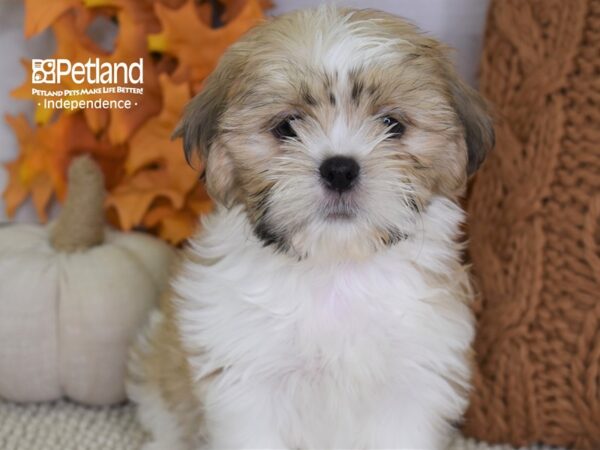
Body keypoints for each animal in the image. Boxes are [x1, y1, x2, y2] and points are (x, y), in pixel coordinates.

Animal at [126, 5, 492, 448]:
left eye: (392, 124)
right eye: (287, 126)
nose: (340, 170)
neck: (334, 268)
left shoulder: (412, 383)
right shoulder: (248, 381)